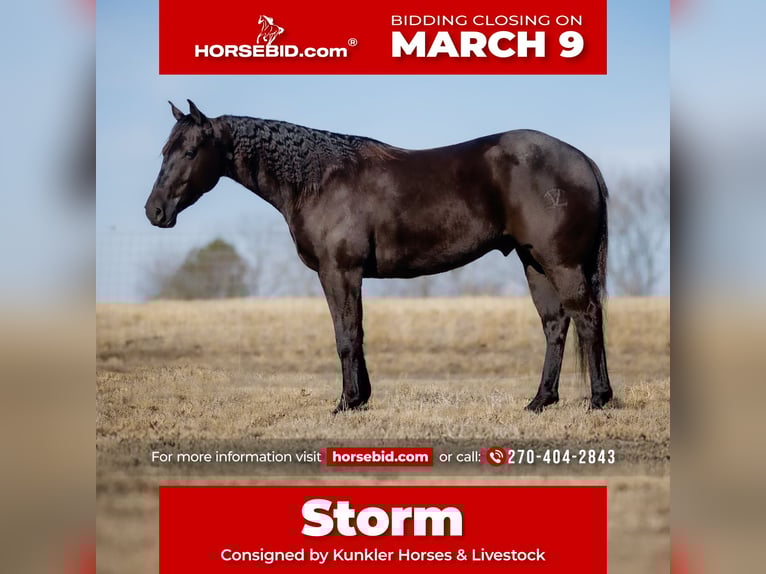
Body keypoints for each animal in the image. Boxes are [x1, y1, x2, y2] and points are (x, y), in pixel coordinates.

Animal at [145, 100, 613, 414]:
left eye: (190, 152)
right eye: (164, 151)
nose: (155, 212)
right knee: (555, 324)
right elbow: (356, 334)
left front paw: (347, 402)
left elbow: (346, 335)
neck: (319, 180)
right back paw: (540, 401)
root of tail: (581, 160)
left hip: (561, 263)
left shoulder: (340, 272)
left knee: (587, 316)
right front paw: (360, 398)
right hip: (533, 263)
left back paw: (599, 399)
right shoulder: (348, 275)